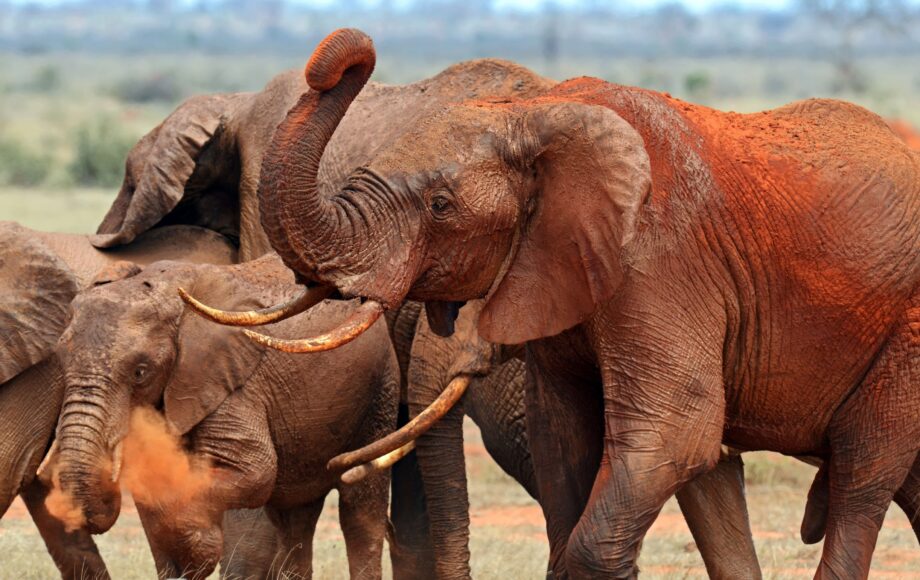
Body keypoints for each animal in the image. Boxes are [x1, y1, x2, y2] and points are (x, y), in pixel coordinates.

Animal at [46, 253, 399, 579]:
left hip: (380, 392)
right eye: (60, 361)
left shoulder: (229, 384)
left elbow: (255, 472)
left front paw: (197, 547)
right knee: (294, 518)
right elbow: (152, 485)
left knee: (360, 509)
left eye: (140, 372)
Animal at [216, 29, 920, 578]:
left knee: (863, 475)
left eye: (440, 206)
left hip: (905, 338)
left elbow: (680, 431)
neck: (536, 113)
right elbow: (563, 436)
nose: (342, 56)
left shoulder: (660, 263)